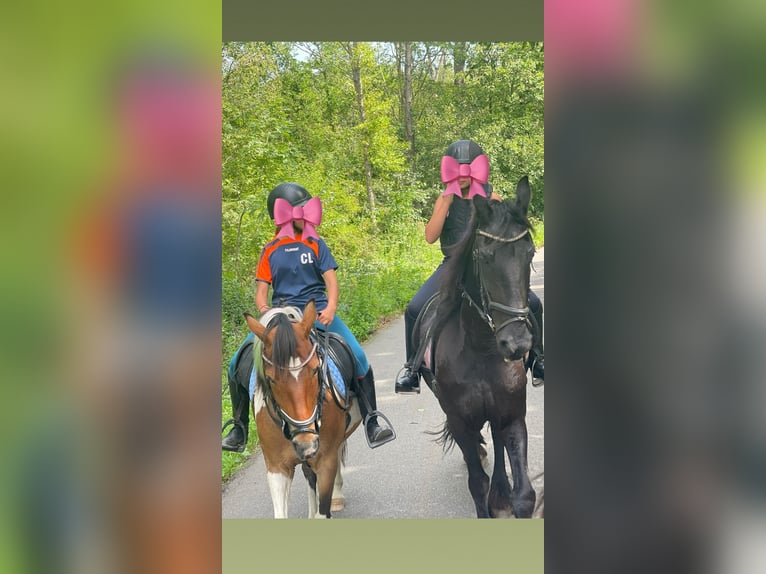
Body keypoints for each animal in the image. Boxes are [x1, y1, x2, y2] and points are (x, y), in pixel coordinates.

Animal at [248, 304, 364, 520]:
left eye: (315, 369)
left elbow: (322, 510)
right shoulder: (277, 468)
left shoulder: (325, 460)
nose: (306, 444)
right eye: (271, 379)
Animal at [426, 178, 540, 520]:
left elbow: (525, 496)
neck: (480, 349)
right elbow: (477, 483)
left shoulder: (512, 415)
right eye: (486, 256)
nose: (517, 344)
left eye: (530, 253)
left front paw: (507, 496)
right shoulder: (459, 422)